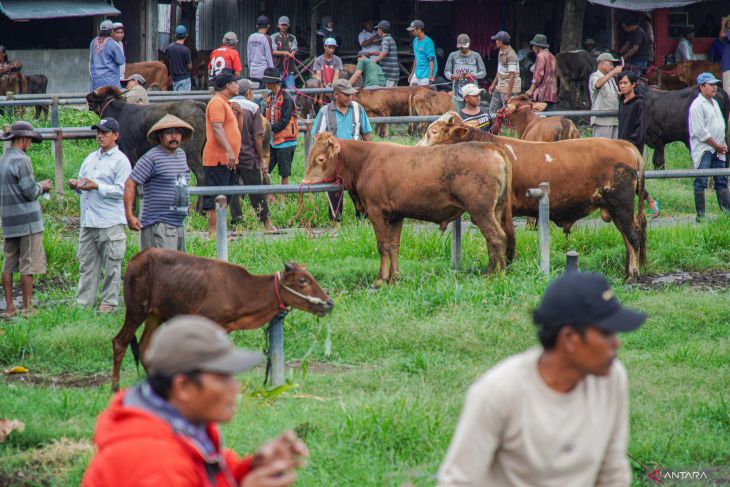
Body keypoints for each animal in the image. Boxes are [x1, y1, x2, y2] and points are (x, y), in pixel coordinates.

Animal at [109, 252, 332, 392]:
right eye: (302, 281)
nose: (329, 303)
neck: (242, 291)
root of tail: (134, 261)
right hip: (137, 310)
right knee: (120, 342)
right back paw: (115, 388)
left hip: (156, 315)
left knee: (145, 347)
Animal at [302, 133, 512, 286]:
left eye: (320, 159)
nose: (304, 182)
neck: (366, 161)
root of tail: (491, 146)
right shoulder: (396, 215)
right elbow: (394, 245)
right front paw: (394, 276)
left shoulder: (376, 211)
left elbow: (383, 245)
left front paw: (381, 278)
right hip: (494, 210)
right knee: (493, 239)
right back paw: (491, 271)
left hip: (480, 211)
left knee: (496, 237)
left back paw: (497, 274)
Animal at [418, 113, 644, 282]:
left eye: (433, 132)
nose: (415, 150)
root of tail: (624, 145)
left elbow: (507, 237)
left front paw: (505, 267)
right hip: (616, 209)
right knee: (629, 235)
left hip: (621, 205)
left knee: (633, 236)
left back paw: (632, 275)